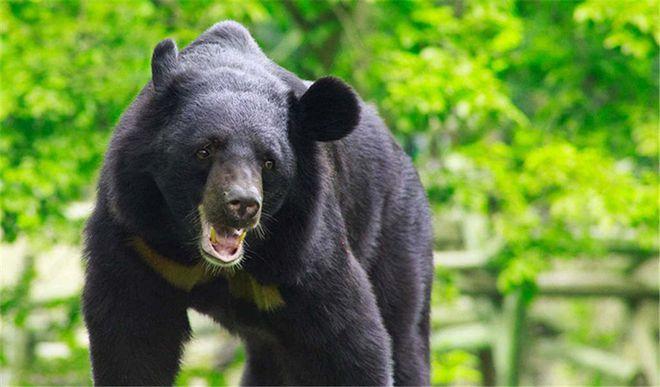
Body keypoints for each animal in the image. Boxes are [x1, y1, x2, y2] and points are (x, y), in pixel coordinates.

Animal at [82, 21, 434, 387]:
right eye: (204, 150)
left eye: (269, 162)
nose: (243, 204)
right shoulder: (138, 237)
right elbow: (132, 337)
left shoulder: (303, 250)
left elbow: (350, 342)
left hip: (396, 235)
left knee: (403, 332)